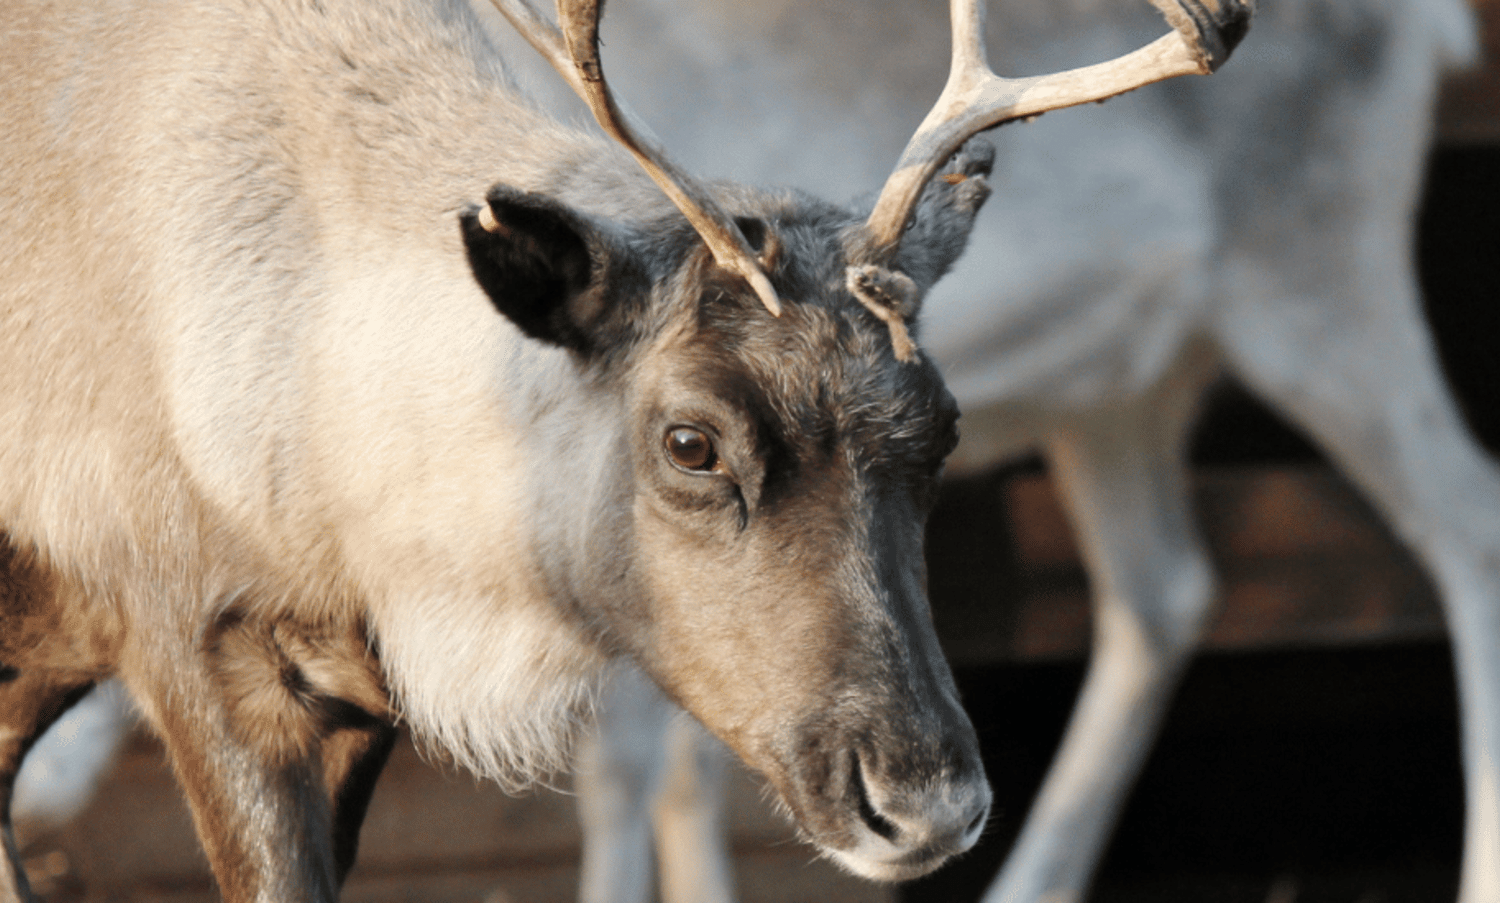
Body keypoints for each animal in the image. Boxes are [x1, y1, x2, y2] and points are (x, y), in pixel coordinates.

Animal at [478, 0, 1489, 901]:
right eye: (692, 443)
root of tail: (1435, 22)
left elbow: (627, 768)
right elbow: (692, 761)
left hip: (1321, 278)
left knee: (1467, 518)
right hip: (1117, 392)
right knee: (1162, 590)